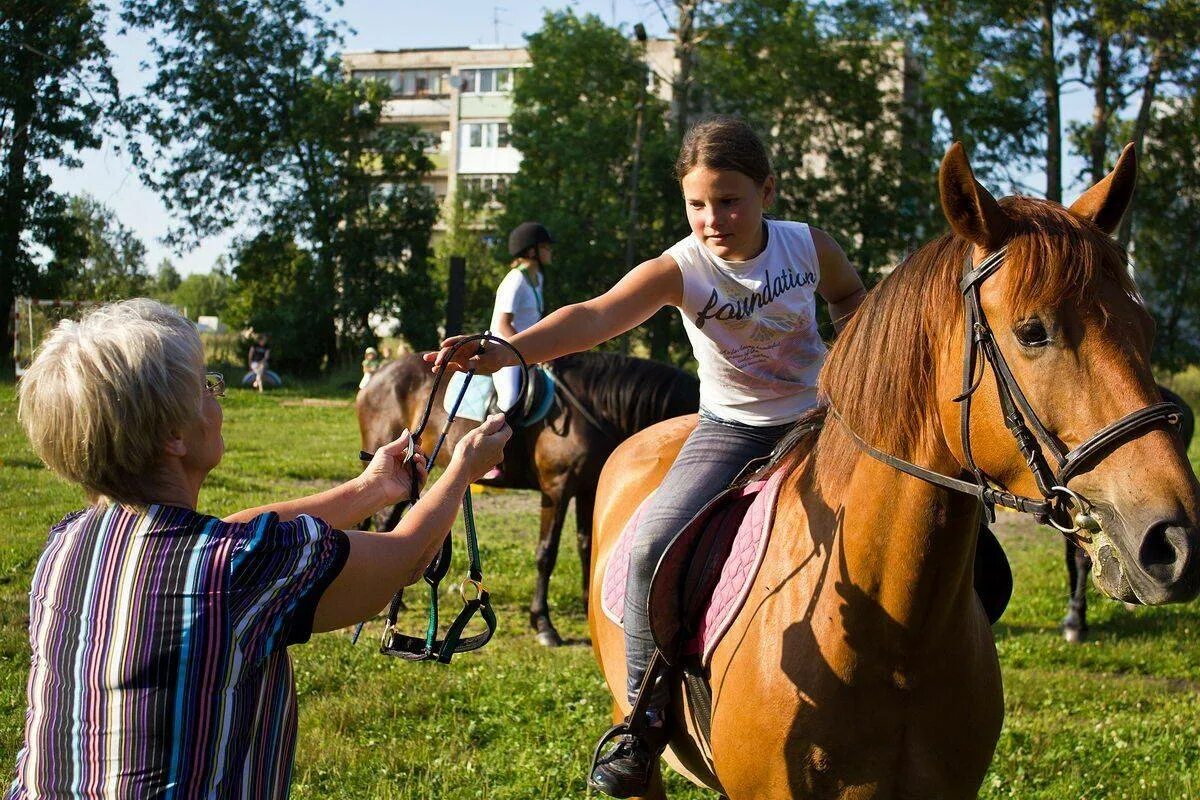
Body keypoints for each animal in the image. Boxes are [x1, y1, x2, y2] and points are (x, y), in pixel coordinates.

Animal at [355, 347, 700, 642]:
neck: (594, 407)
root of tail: (377, 377)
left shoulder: (588, 488)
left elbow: (587, 546)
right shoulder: (556, 490)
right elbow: (546, 553)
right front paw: (543, 623)